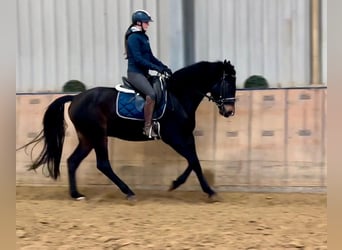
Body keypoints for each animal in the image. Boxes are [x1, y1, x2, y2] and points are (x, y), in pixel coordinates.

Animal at [18, 59, 236, 200]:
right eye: (228, 81)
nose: (230, 111)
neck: (179, 95)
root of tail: (76, 97)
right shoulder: (174, 137)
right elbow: (193, 160)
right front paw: (209, 191)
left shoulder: (185, 136)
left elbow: (194, 160)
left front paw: (177, 183)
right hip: (98, 136)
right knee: (103, 164)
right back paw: (128, 192)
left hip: (87, 138)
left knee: (73, 161)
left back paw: (76, 194)